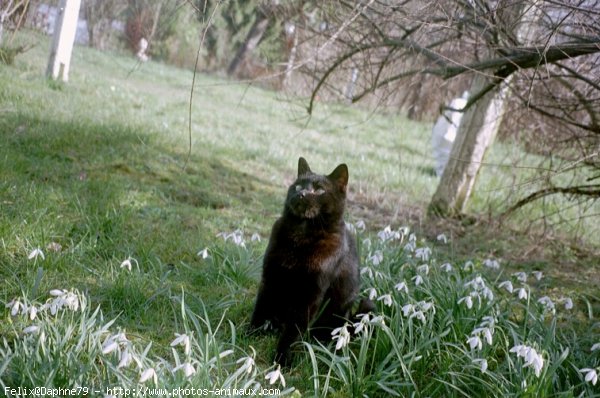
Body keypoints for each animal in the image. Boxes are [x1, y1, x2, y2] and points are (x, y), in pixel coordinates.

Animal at [248, 157, 370, 366]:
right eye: (297, 186)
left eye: (319, 190)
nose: (301, 194)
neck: (301, 236)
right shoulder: (270, 277)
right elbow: (261, 308)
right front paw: (246, 337)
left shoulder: (310, 294)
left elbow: (293, 330)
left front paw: (282, 359)